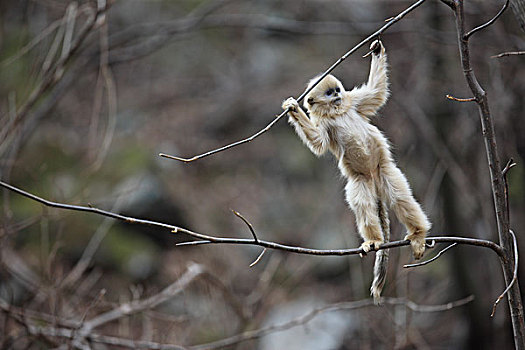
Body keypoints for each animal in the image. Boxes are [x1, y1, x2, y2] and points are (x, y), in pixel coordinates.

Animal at [282, 40, 430, 304]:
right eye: (329, 93)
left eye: (337, 90)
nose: (338, 95)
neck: (336, 112)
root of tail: (373, 178)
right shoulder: (323, 126)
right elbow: (318, 143)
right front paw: (293, 108)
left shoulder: (353, 102)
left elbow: (376, 94)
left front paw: (377, 50)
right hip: (360, 181)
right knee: (363, 205)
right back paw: (374, 241)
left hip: (385, 171)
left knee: (401, 198)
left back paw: (417, 234)